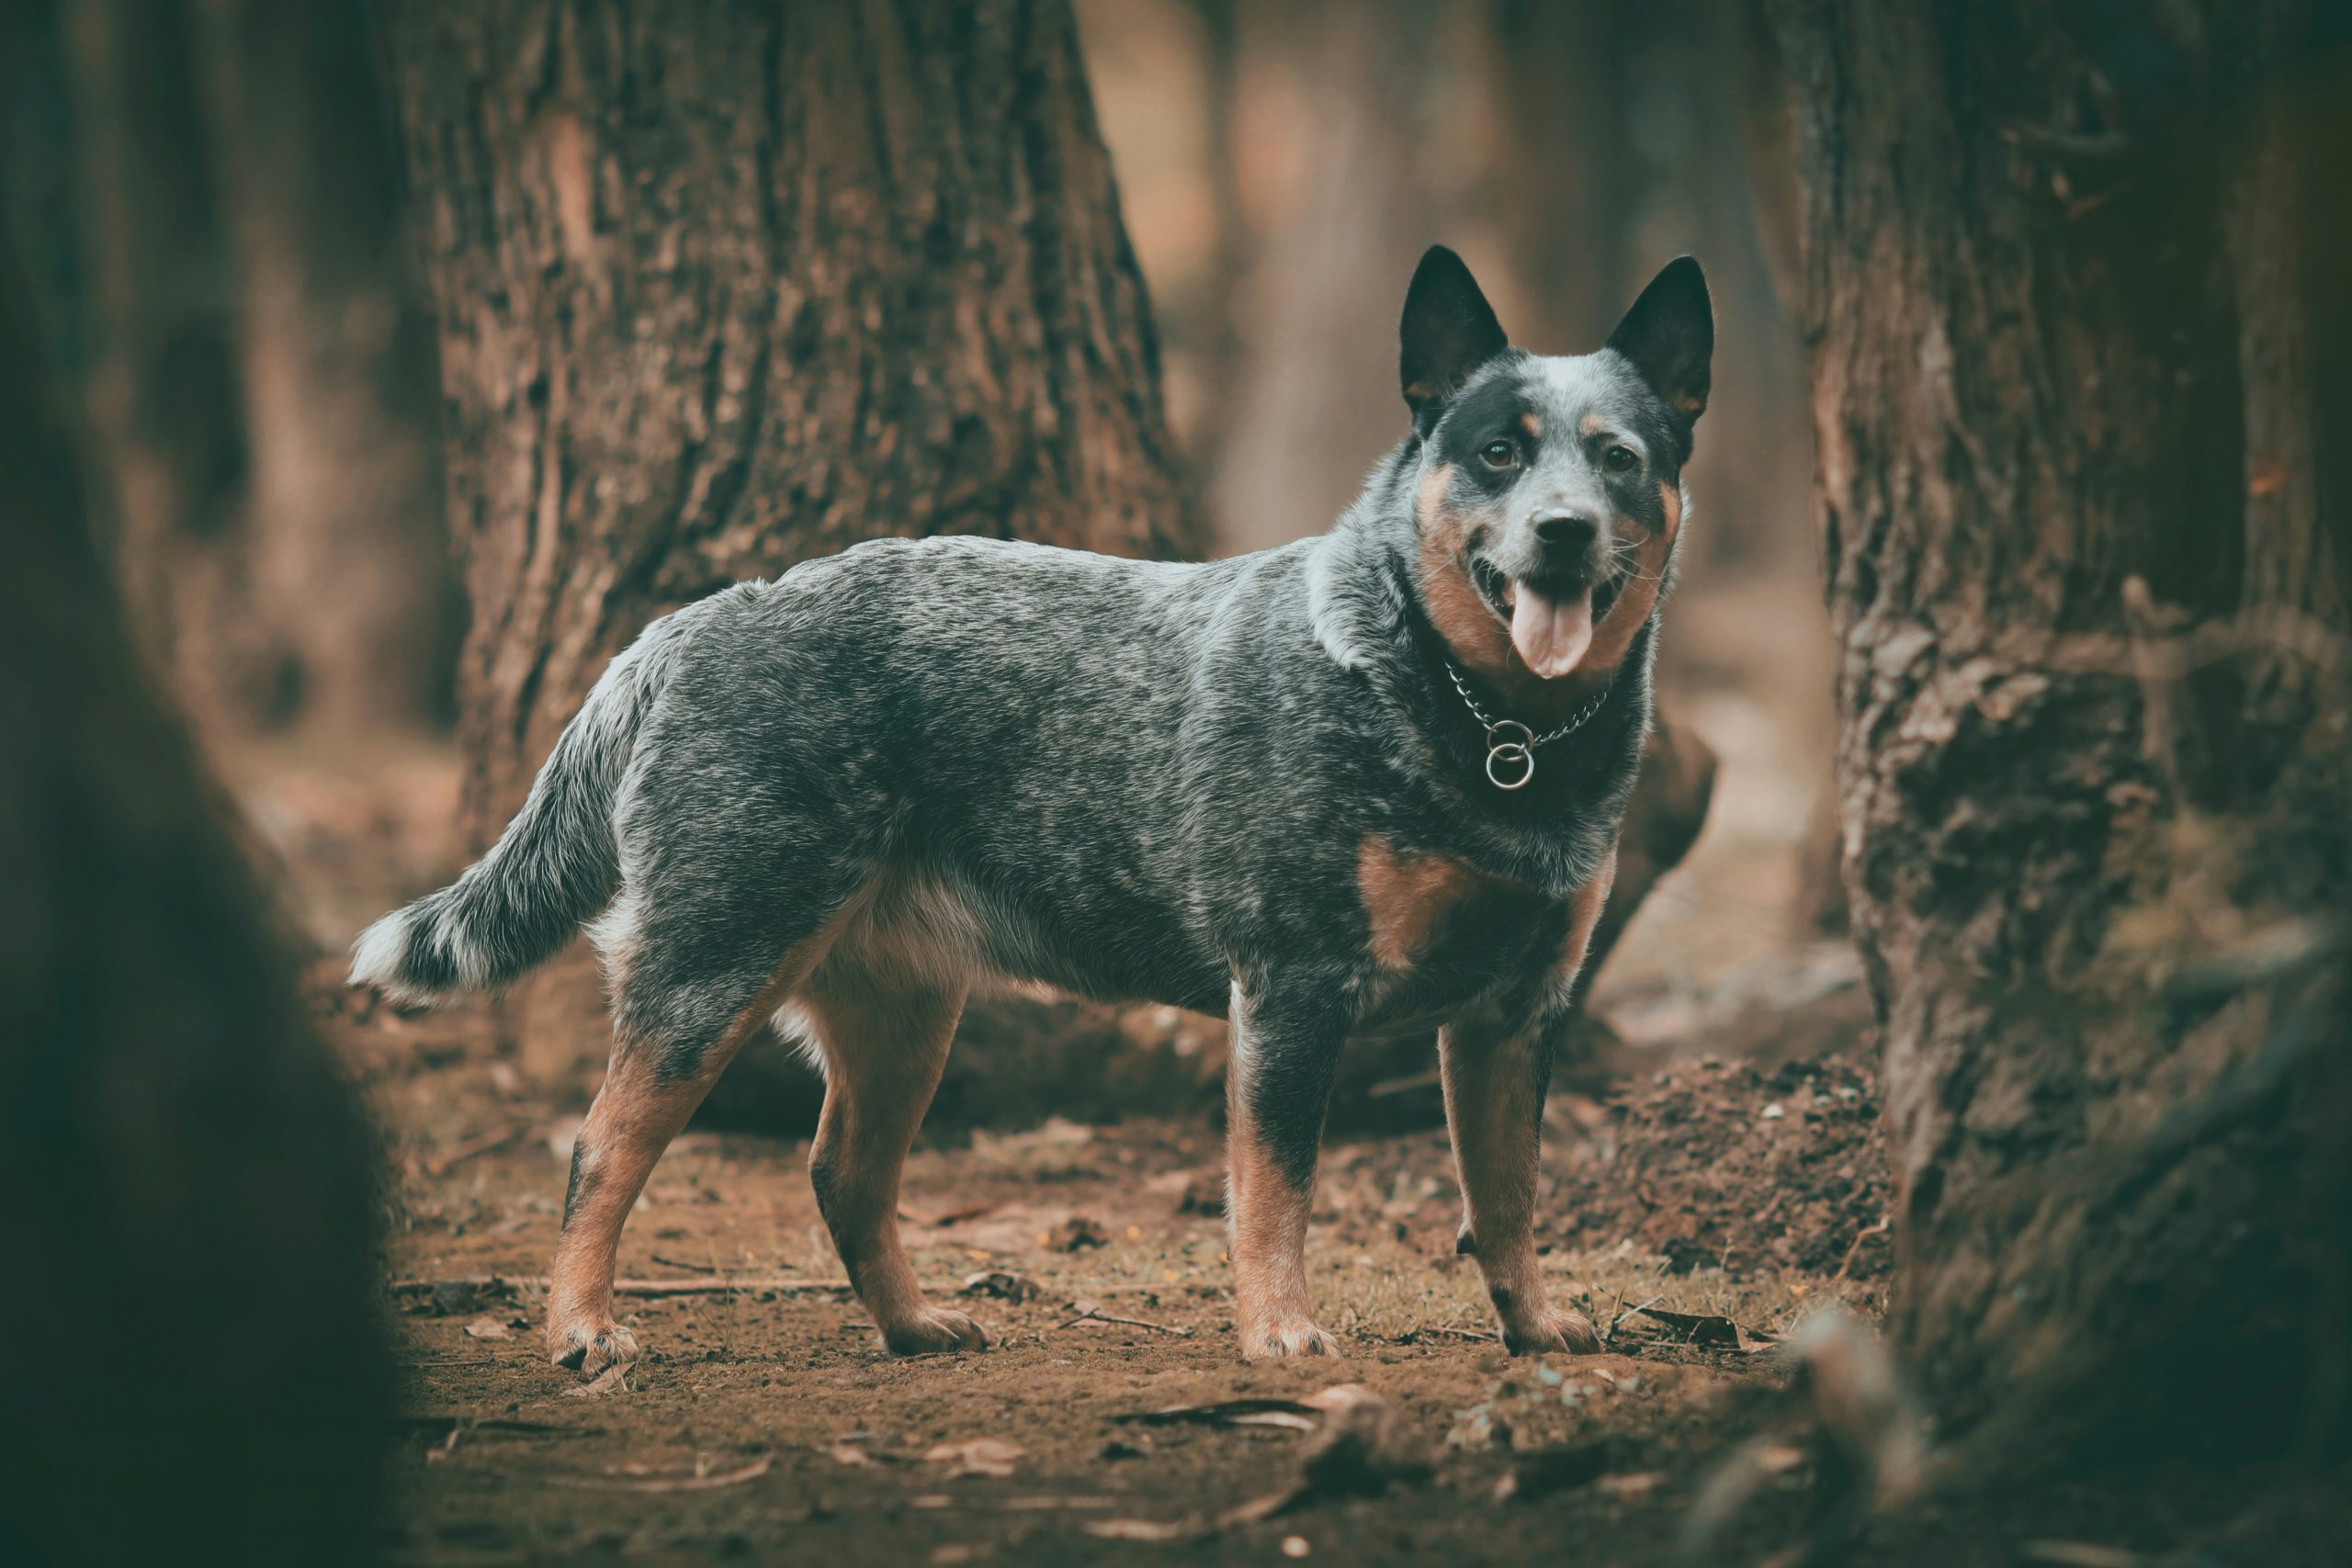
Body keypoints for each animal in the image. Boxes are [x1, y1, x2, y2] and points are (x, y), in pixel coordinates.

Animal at [347, 245, 1712, 1372]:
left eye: (1620, 458)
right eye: (1498, 450)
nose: (1562, 531)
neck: (1489, 732)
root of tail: (690, 622)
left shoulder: (1515, 1011)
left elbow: (1509, 1197)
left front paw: (1536, 1327)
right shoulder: (1293, 986)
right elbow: (1276, 1192)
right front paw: (1278, 1334)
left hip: (903, 1007)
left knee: (844, 1171)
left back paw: (913, 1324)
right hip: (710, 965)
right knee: (601, 1150)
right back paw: (580, 1329)